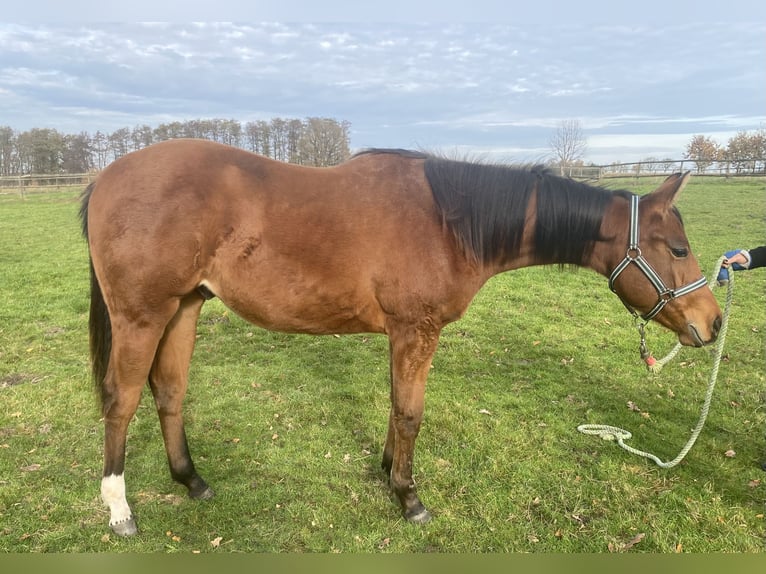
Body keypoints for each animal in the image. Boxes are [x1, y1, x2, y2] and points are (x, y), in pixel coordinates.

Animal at [79, 138, 722, 536]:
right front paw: (409, 498)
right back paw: (119, 510)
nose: (713, 322)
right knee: (121, 401)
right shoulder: (417, 330)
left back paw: (192, 481)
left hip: (183, 308)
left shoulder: (402, 334)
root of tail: (106, 177)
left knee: (169, 392)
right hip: (142, 315)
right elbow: (411, 413)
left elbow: (394, 407)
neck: (447, 222)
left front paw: (387, 471)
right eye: (678, 248)